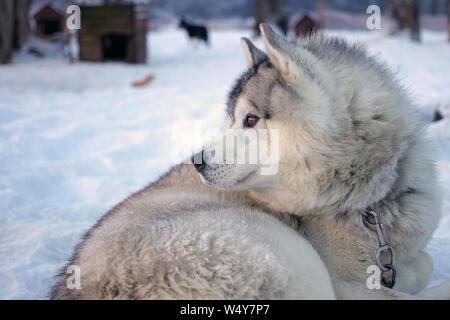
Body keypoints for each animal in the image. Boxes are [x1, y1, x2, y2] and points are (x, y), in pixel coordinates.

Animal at [51, 24, 448, 300]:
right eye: (231, 119)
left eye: (251, 119)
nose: (196, 162)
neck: (372, 203)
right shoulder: (345, 284)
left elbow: (424, 264)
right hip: (289, 255)